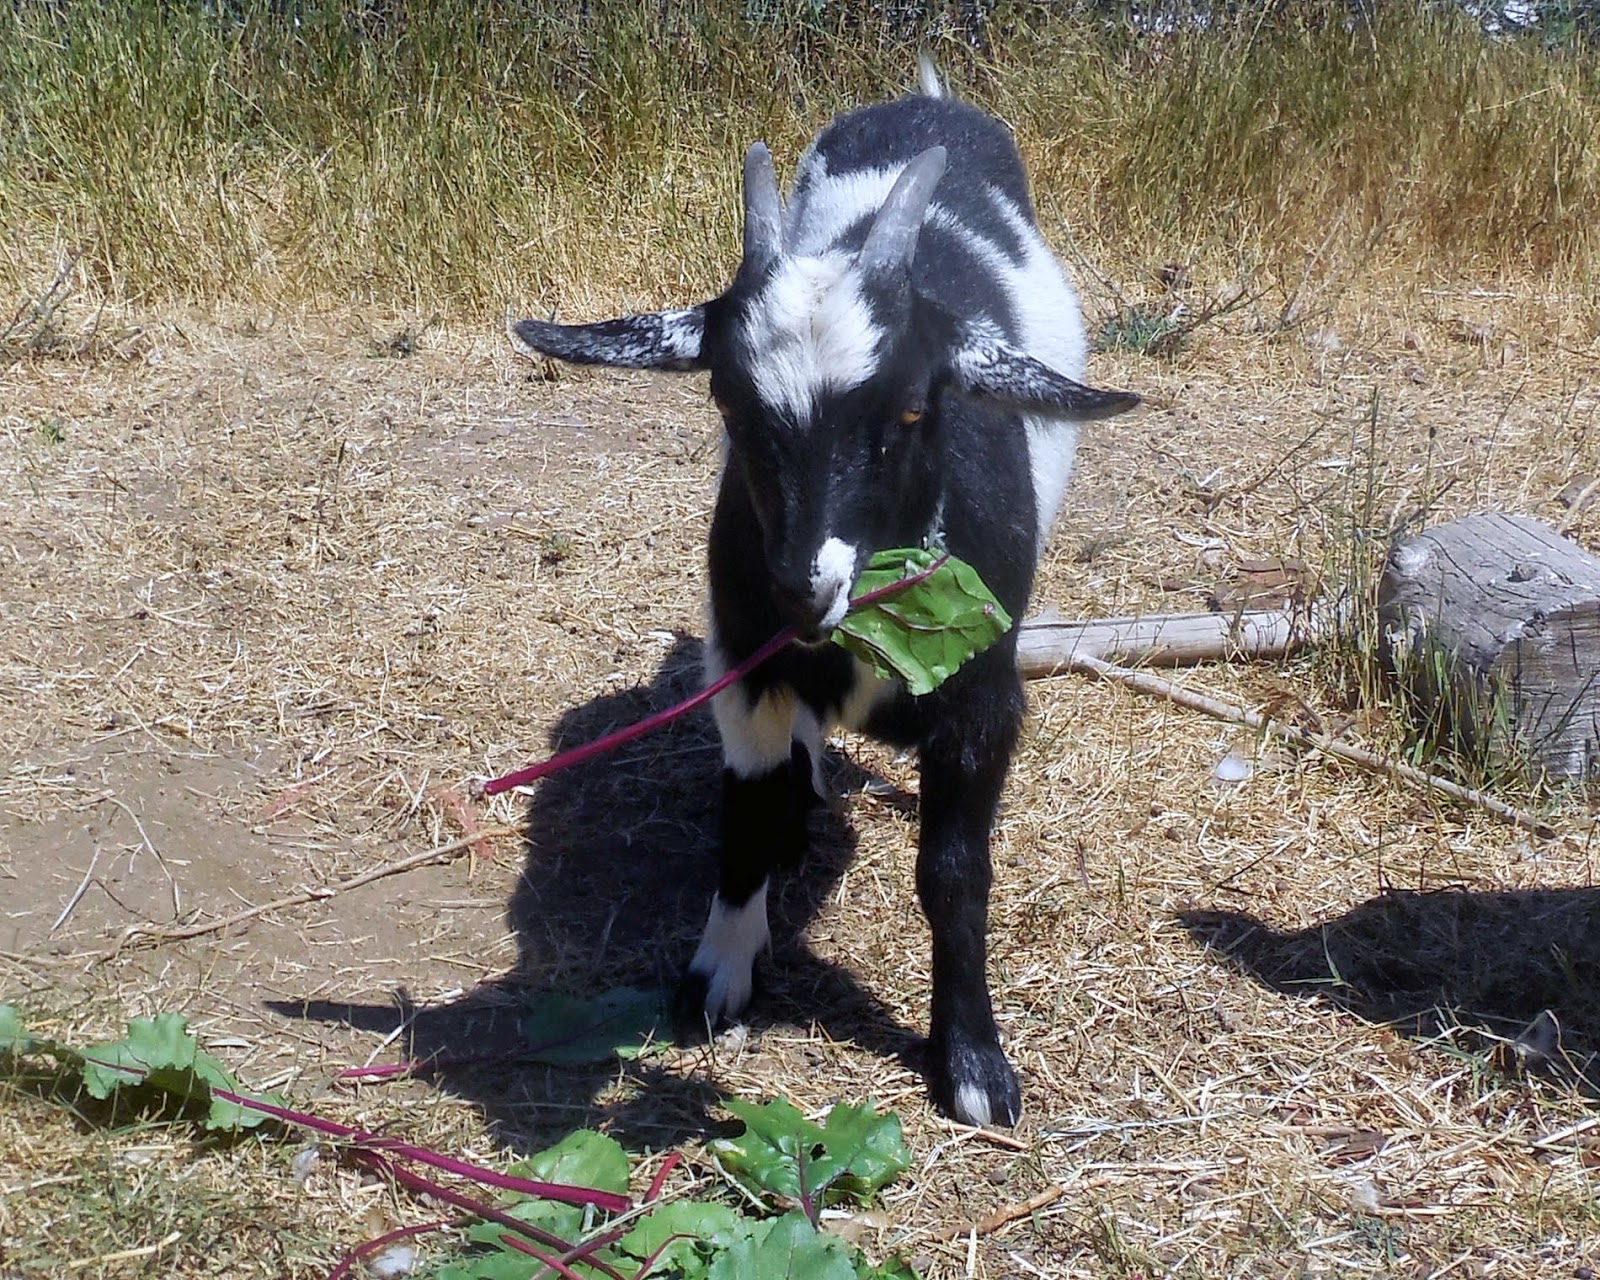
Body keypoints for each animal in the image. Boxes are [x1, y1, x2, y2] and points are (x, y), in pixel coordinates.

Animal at [509, 63, 1138, 1126]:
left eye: (915, 409)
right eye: (726, 399)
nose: (804, 594)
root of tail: (925, 100)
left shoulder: (982, 699)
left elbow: (954, 874)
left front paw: (973, 1063)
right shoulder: (744, 665)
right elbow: (749, 819)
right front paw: (718, 975)